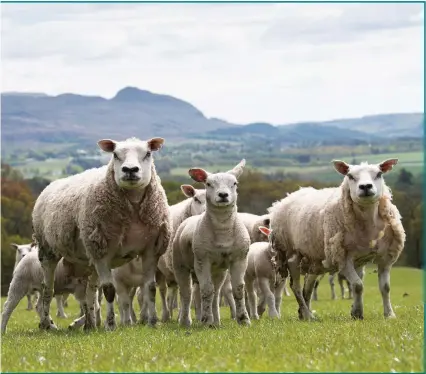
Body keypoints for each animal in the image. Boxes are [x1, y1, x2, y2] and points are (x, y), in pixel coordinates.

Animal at [31, 137, 171, 330]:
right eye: (115, 155)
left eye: (148, 153)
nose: (130, 170)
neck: (133, 208)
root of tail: (51, 185)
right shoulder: (102, 252)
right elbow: (109, 290)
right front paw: (110, 325)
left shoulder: (151, 249)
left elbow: (150, 288)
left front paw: (153, 322)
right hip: (48, 250)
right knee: (47, 288)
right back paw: (47, 324)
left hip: (89, 257)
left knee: (90, 293)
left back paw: (90, 325)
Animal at [112, 184, 207, 324]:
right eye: (196, 199)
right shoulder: (177, 265)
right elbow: (185, 291)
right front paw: (184, 317)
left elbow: (197, 291)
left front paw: (199, 316)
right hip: (159, 269)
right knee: (157, 291)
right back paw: (156, 316)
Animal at [172, 161, 251, 328]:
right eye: (208, 184)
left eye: (235, 183)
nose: (223, 195)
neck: (223, 229)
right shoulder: (202, 260)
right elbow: (206, 291)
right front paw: (206, 321)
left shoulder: (240, 258)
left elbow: (238, 290)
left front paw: (244, 320)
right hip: (180, 265)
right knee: (186, 293)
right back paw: (185, 321)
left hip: (219, 271)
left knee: (216, 293)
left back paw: (217, 321)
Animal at [270, 159, 406, 320]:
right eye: (350, 176)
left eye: (379, 174)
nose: (365, 187)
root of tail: (285, 198)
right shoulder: (342, 258)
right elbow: (358, 285)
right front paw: (358, 313)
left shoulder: (383, 258)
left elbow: (384, 287)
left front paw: (389, 314)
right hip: (291, 254)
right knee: (296, 286)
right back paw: (307, 315)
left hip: (314, 259)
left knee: (308, 286)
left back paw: (305, 314)